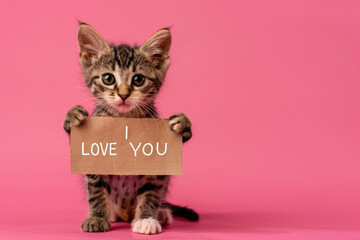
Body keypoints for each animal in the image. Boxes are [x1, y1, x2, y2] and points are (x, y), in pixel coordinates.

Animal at [63, 23, 198, 234]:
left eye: (138, 80)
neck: (124, 120)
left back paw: (160, 213)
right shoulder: (92, 151)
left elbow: (151, 190)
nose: (124, 95)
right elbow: (95, 187)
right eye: (108, 78)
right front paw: (97, 217)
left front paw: (146, 219)